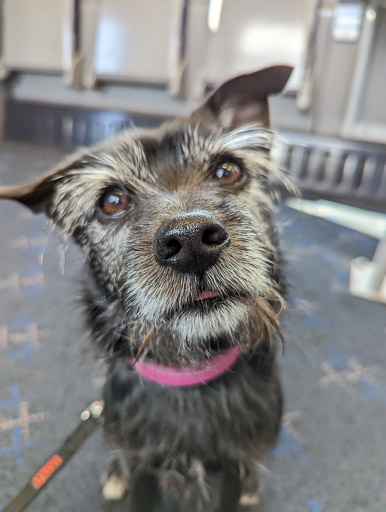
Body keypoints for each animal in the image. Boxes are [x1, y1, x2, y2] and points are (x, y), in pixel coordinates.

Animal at [0, 66, 290, 510]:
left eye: (228, 171)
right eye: (113, 201)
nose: (190, 241)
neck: (191, 373)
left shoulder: (234, 464)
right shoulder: (142, 464)